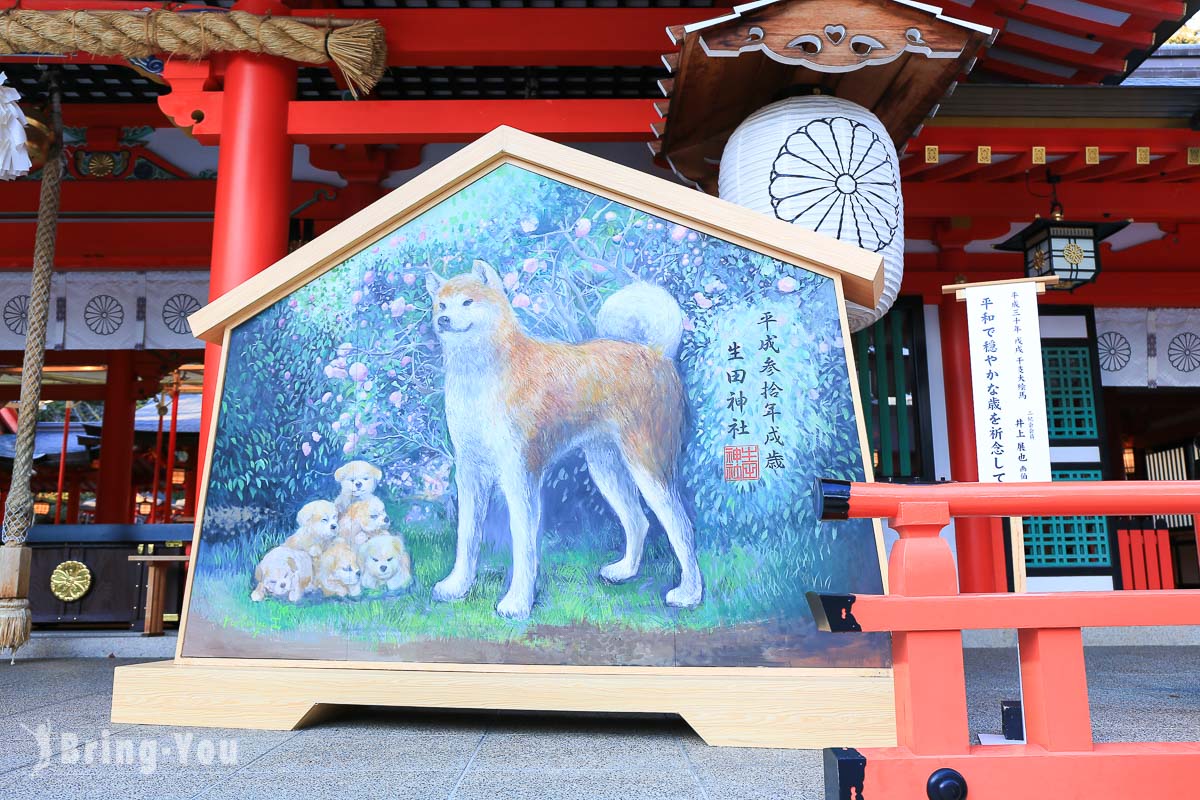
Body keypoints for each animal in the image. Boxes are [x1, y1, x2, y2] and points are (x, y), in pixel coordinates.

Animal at [427, 261, 700, 618]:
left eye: (468, 302)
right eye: (441, 305)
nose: (443, 320)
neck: (481, 376)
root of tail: (655, 354)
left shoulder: (520, 477)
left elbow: (524, 546)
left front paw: (517, 603)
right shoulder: (471, 474)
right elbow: (466, 538)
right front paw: (457, 586)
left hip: (648, 467)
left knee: (681, 527)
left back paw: (690, 594)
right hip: (606, 467)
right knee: (638, 521)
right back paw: (624, 571)